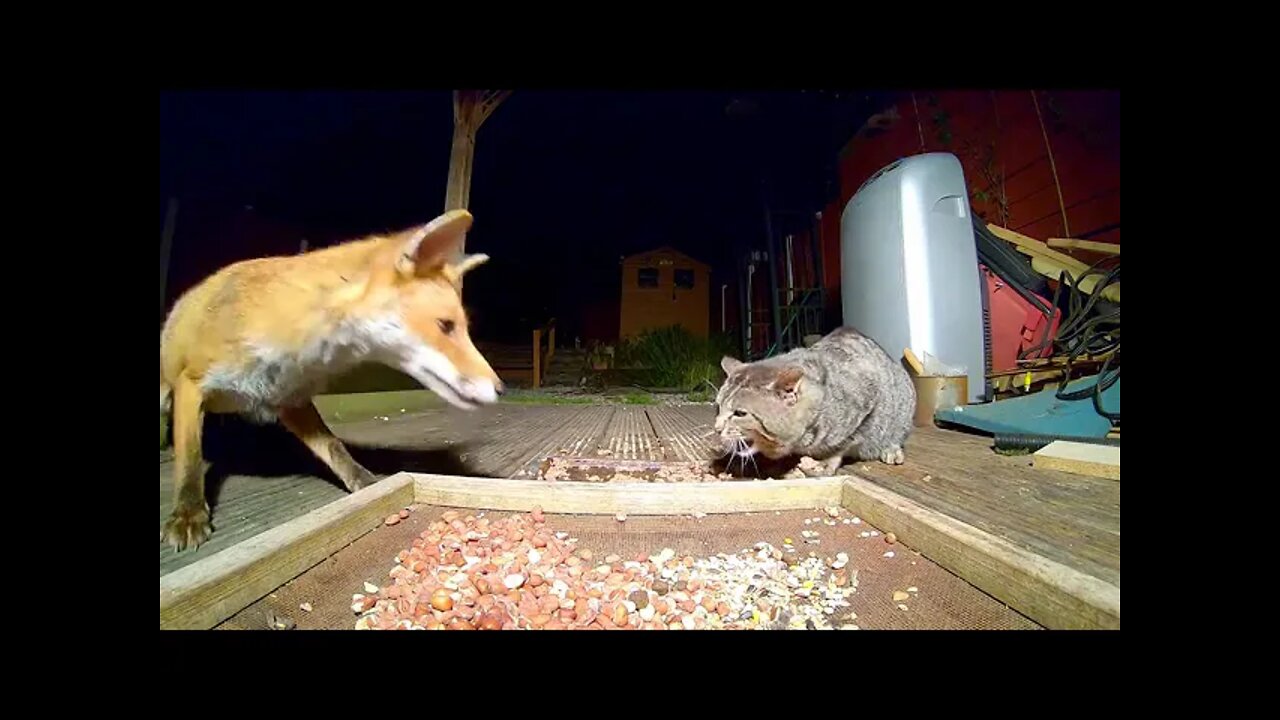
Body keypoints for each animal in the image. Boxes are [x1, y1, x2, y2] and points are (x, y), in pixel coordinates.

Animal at [158, 207, 499, 548]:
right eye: (445, 326)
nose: (499, 388)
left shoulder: (290, 399)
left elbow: (335, 449)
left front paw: (366, 483)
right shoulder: (192, 384)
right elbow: (190, 459)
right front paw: (188, 513)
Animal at [716, 324, 916, 471]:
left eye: (740, 413)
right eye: (718, 406)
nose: (717, 428)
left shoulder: (867, 407)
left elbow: (844, 444)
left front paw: (824, 462)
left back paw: (891, 449)